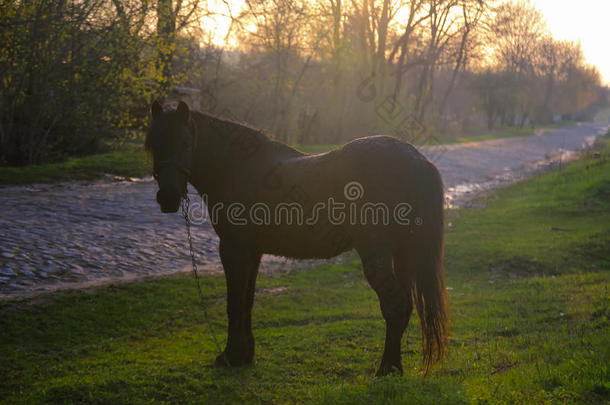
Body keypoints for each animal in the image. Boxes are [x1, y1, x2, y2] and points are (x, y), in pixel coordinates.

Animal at [142, 102, 446, 376]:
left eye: (185, 143)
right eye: (153, 145)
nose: (168, 197)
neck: (238, 168)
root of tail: (416, 158)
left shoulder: (233, 249)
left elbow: (234, 303)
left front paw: (230, 356)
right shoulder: (252, 252)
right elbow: (247, 301)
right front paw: (245, 355)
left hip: (377, 252)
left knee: (395, 304)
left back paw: (385, 369)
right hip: (402, 252)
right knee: (405, 306)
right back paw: (394, 367)